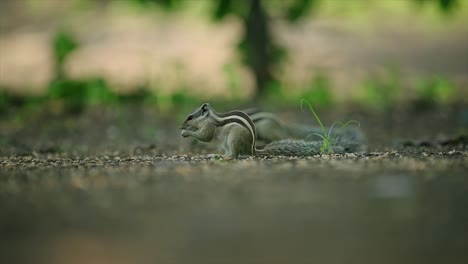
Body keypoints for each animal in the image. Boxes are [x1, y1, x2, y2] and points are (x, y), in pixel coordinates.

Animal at [180, 102, 366, 159]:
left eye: (189, 117)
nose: (180, 126)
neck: (209, 117)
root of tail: (252, 149)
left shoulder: (209, 127)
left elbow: (205, 136)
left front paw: (187, 133)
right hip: (227, 141)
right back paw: (215, 154)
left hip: (233, 138)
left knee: (234, 155)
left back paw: (221, 156)